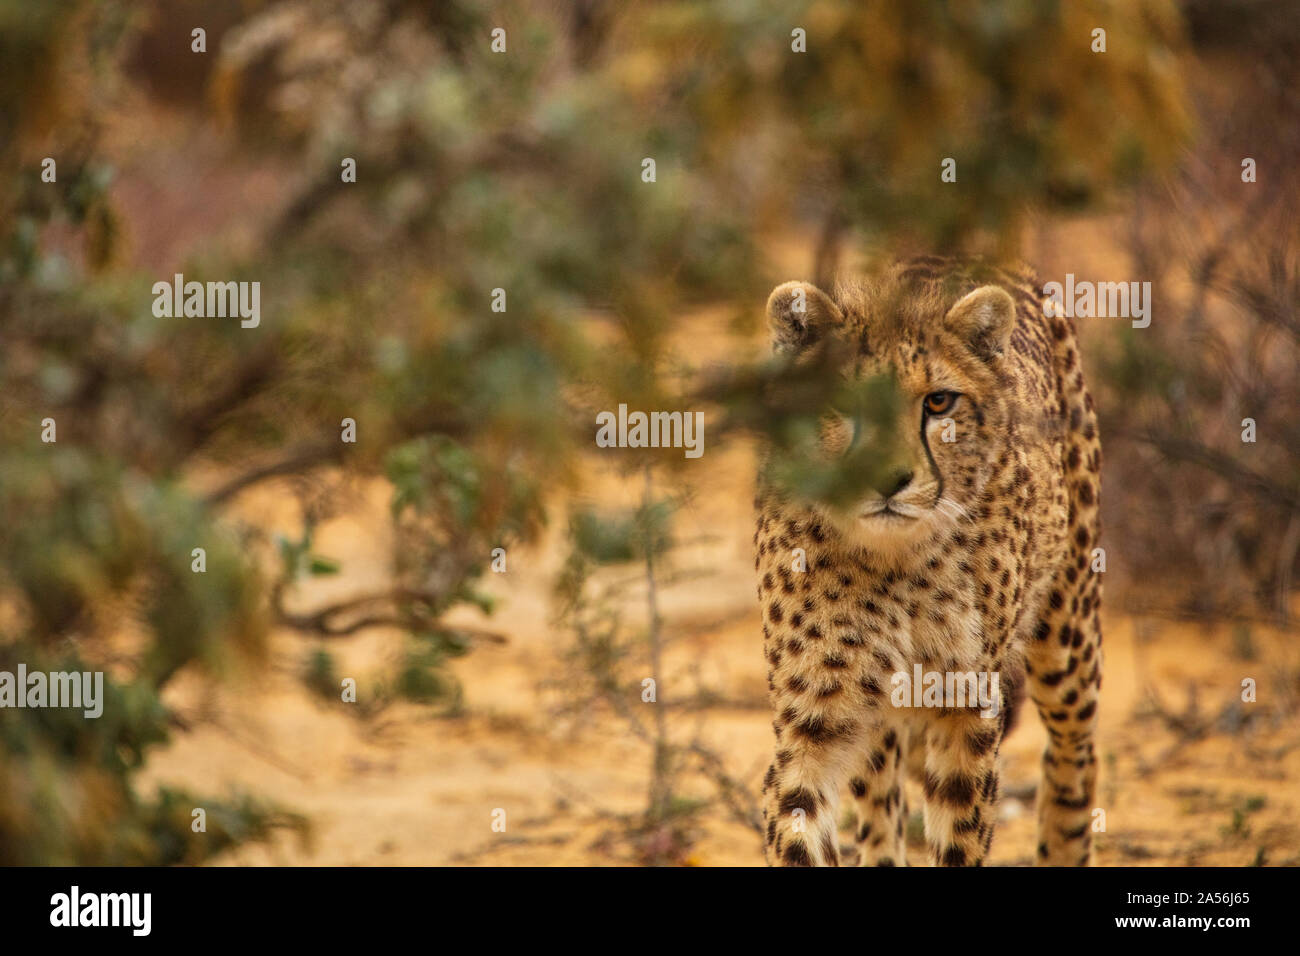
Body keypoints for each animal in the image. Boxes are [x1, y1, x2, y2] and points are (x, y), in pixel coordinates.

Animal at [759, 256, 1102, 868]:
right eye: (843, 404)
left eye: (939, 402)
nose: (889, 480)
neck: (893, 561)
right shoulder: (813, 724)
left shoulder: (965, 708)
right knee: (879, 795)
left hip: (1069, 633)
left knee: (1074, 750)